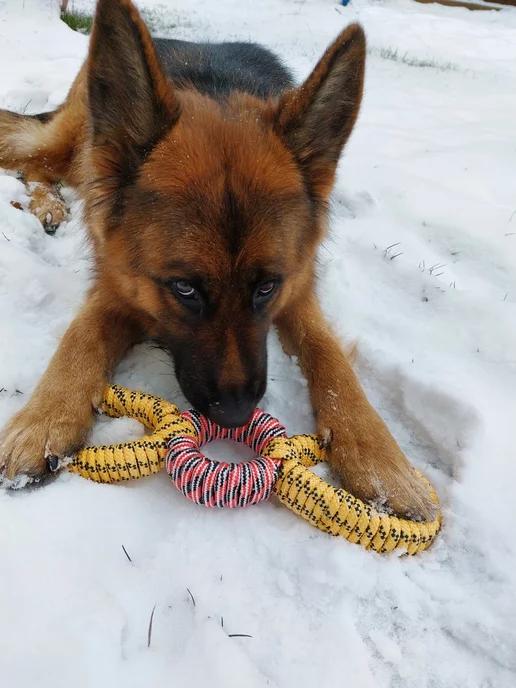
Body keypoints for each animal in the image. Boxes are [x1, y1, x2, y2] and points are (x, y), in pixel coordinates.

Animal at [0, 0, 436, 520]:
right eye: (185, 289)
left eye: (266, 287)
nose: (235, 417)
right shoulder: (115, 284)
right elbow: (79, 338)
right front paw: (43, 419)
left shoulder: (299, 289)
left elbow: (331, 358)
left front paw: (381, 457)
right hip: (71, 141)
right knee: (35, 164)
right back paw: (49, 204)